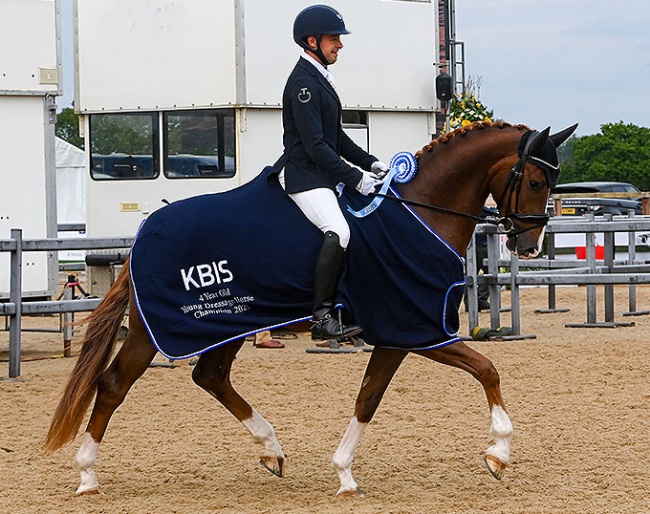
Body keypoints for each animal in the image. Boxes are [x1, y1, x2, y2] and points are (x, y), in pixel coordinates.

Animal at [44, 121, 572, 496]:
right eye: (536, 181)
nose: (529, 244)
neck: (422, 212)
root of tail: (141, 236)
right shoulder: (416, 329)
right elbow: (485, 370)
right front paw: (499, 452)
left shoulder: (398, 335)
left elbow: (369, 397)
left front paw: (344, 473)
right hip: (156, 331)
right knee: (114, 384)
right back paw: (87, 475)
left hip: (231, 324)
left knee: (210, 377)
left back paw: (271, 449)